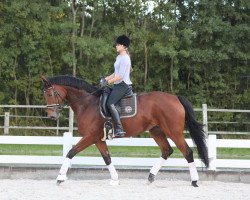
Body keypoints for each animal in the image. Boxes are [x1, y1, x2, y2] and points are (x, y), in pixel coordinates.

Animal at [41, 74, 209, 187]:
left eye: (50, 93)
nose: (52, 116)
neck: (87, 103)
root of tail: (175, 97)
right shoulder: (98, 139)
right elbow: (107, 158)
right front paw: (115, 179)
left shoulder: (90, 137)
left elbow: (71, 152)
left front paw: (60, 177)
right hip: (156, 131)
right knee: (167, 150)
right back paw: (150, 177)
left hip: (173, 132)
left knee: (187, 152)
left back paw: (194, 181)